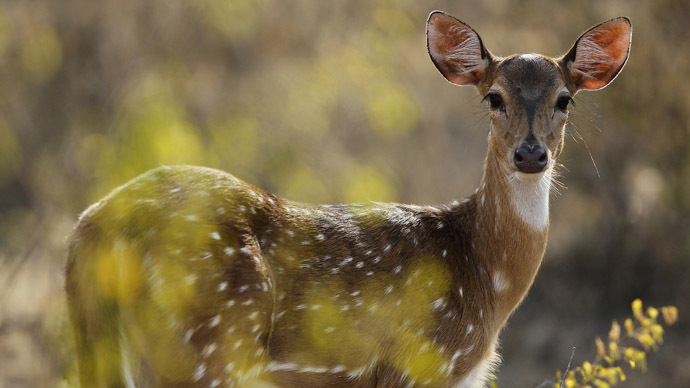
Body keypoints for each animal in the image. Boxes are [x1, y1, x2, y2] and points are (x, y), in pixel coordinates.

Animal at [64, 11, 628, 388]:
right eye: (494, 97)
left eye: (564, 100)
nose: (531, 155)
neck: (485, 278)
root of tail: (93, 226)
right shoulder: (420, 365)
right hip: (206, 345)